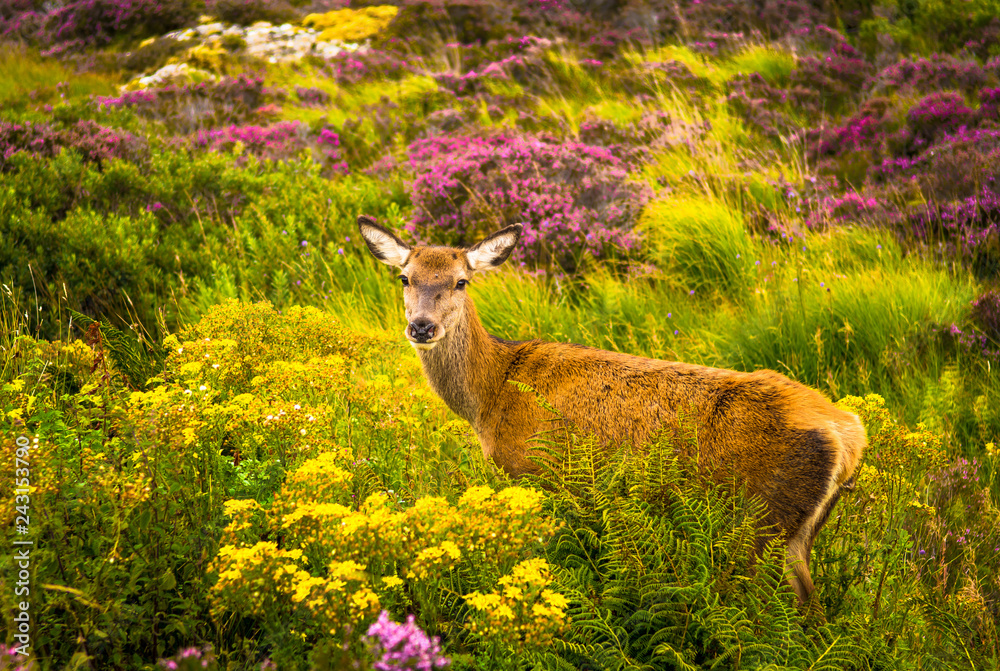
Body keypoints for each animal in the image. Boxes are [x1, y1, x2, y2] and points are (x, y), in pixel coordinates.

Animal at [357, 214, 866, 605]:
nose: (422, 327)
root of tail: (848, 434)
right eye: (405, 277)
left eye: (461, 281)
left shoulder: (534, 472)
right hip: (800, 530)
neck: (493, 394)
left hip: (764, 521)